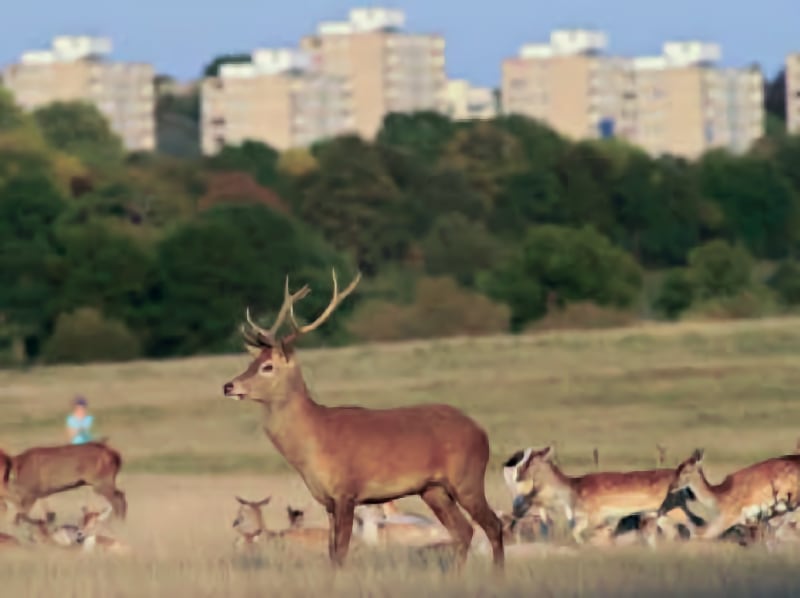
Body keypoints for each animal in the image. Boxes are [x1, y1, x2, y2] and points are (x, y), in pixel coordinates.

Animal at [222, 270, 504, 572]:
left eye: (268, 366)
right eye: (251, 363)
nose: (228, 386)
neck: (315, 436)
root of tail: (481, 431)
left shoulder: (347, 492)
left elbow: (341, 553)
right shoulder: (328, 501)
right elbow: (331, 553)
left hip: (468, 478)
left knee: (493, 525)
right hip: (433, 489)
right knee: (464, 530)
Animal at [506, 446, 688, 548]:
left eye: (531, 461)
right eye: (522, 460)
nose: (518, 476)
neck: (572, 491)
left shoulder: (597, 516)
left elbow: (598, 535)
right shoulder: (582, 518)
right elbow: (576, 532)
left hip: (676, 510)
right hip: (660, 514)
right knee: (671, 532)